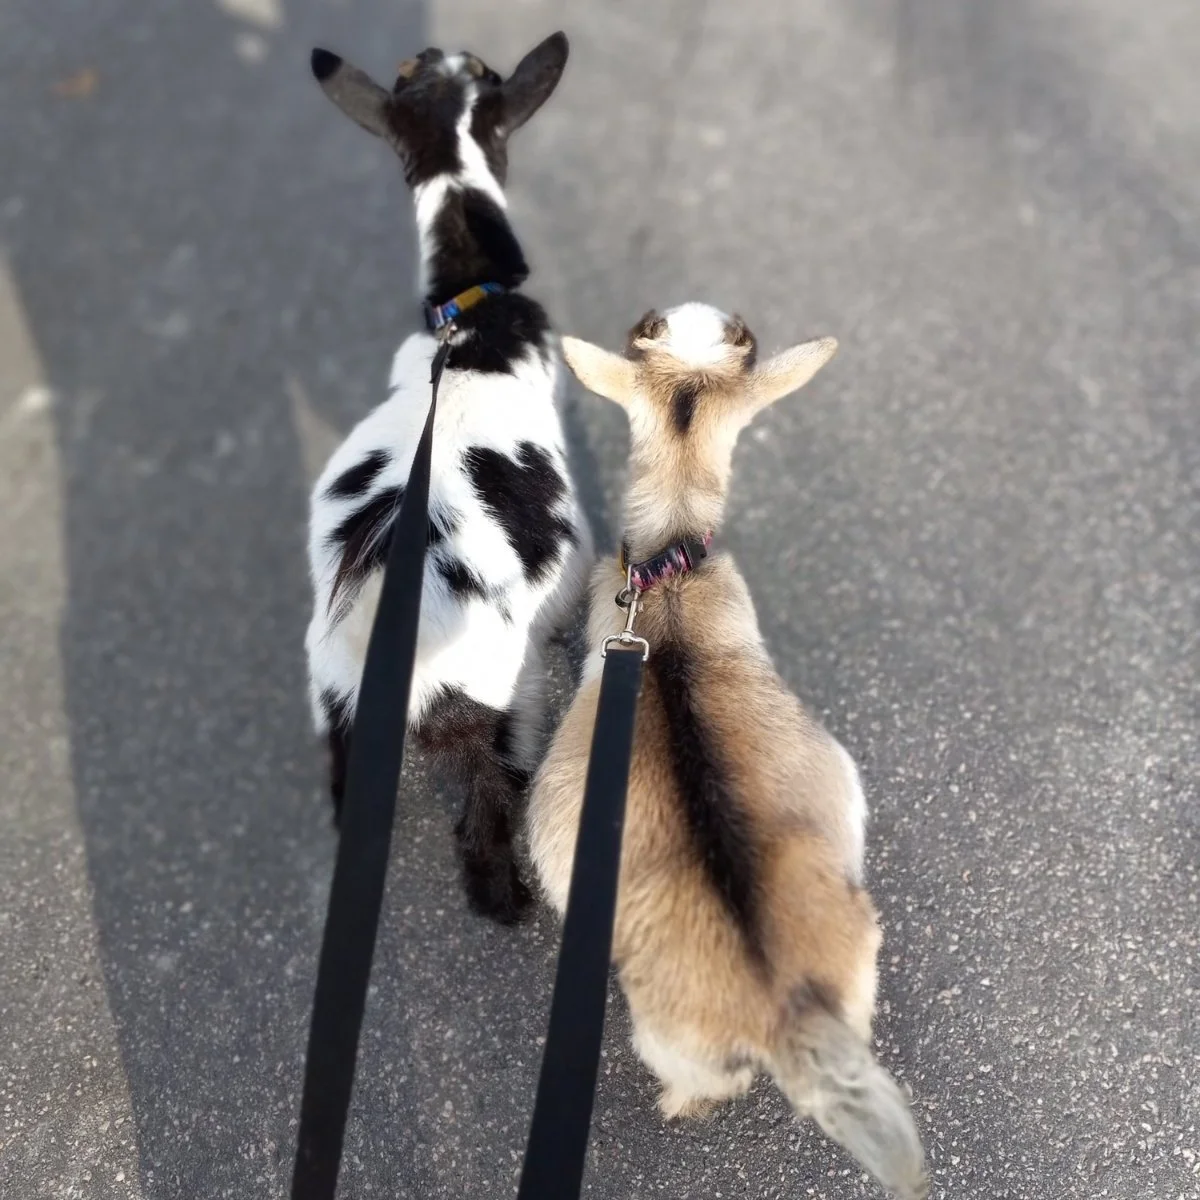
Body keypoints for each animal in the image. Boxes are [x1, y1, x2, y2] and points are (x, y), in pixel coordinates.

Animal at [305, 35, 592, 925]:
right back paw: (511, 903)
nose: (438, 46)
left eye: (423, 77)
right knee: (490, 811)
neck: (470, 315)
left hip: (336, 708)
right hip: (500, 703)